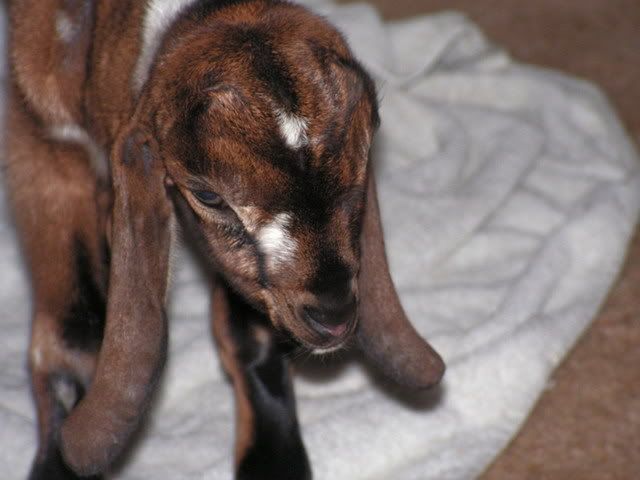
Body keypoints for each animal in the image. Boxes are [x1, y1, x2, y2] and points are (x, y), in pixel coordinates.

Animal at [4, 0, 445, 478]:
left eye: (363, 164)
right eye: (208, 195)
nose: (334, 317)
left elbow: (247, 326)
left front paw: (273, 460)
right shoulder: (42, 147)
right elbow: (73, 337)